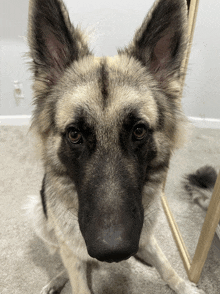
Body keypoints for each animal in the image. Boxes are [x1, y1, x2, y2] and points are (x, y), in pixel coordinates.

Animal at [27, 0, 205, 292]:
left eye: (139, 130)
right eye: (74, 134)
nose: (113, 253)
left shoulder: (146, 234)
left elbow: (166, 266)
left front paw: (182, 284)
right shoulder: (72, 250)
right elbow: (76, 272)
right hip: (39, 219)